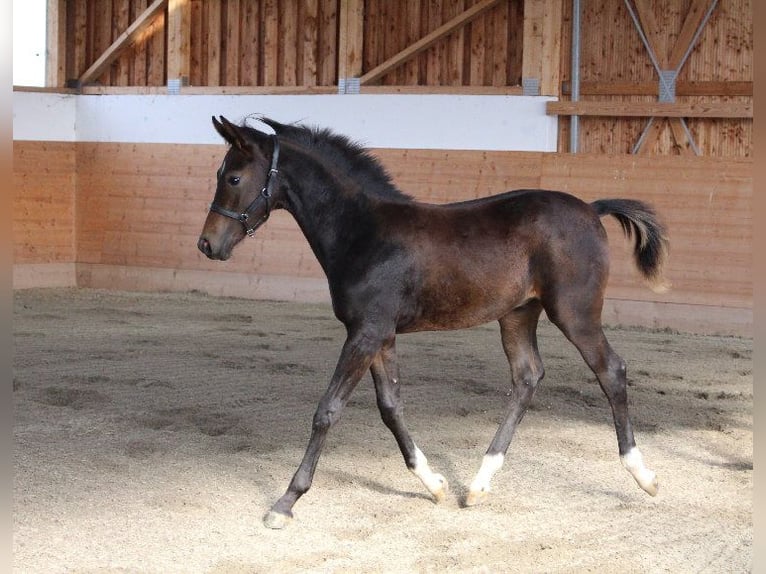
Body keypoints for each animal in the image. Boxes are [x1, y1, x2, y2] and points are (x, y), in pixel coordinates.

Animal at [197, 115, 669, 530]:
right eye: (220, 174)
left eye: (234, 178)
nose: (207, 245)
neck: (364, 232)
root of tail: (591, 207)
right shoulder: (380, 336)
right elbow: (390, 407)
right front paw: (435, 484)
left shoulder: (365, 334)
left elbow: (327, 410)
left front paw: (285, 502)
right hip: (518, 314)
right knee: (527, 377)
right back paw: (478, 484)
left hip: (575, 313)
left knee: (611, 370)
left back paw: (643, 475)